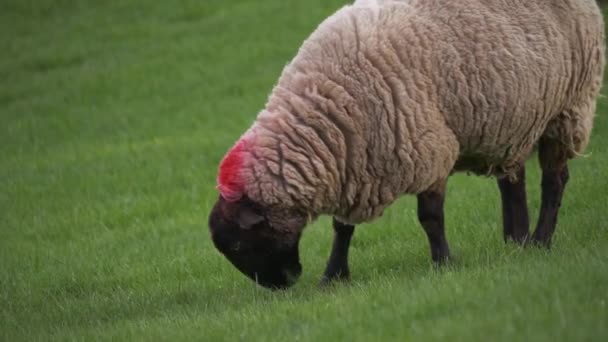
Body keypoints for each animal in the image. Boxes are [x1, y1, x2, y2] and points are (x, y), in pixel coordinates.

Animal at [208, 0, 604, 288]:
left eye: (239, 242)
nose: (282, 284)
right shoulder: (354, 161)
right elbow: (342, 227)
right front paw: (333, 276)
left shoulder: (428, 149)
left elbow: (429, 217)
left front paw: (443, 263)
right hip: (512, 120)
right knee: (513, 179)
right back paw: (516, 240)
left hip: (568, 109)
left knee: (555, 181)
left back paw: (540, 240)